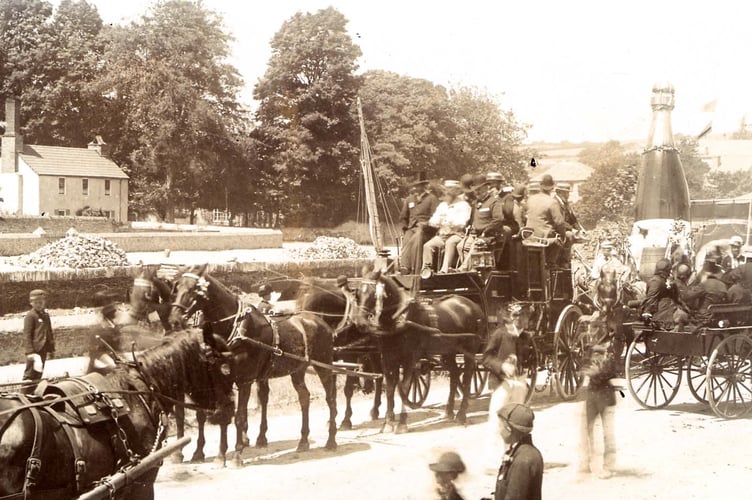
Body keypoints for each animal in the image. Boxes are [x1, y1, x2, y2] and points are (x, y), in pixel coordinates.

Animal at [170, 268, 338, 466]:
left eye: (194, 289)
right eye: (176, 287)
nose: (174, 319)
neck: (234, 330)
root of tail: (320, 321)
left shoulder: (245, 381)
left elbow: (239, 417)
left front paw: (236, 455)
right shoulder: (221, 382)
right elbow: (222, 416)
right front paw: (220, 456)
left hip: (324, 365)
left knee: (330, 398)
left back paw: (331, 440)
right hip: (297, 370)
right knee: (304, 397)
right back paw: (303, 441)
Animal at [296, 280, 384, 428]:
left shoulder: (351, 357)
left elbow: (348, 389)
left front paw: (346, 419)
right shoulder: (330, 360)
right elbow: (332, 390)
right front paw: (332, 418)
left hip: (376, 351)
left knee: (380, 377)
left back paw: (376, 409)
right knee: (378, 375)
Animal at [356, 272, 484, 432]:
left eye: (374, 293)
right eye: (358, 293)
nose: (360, 322)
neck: (398, 320)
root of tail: (473, 305)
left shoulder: (409, 359)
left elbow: (404, 388)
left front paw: (402, 422)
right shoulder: (388, 358)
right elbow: (390, 387)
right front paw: (388, 423)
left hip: (470, 350)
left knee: (466, 378)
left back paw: (461, 414)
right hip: (448, 351)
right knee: (454, 374)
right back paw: (449, 411)